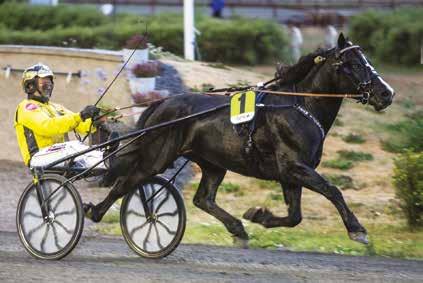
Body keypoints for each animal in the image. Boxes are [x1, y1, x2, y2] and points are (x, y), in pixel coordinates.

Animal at [84, 33, 396, 246]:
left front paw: (258, 216)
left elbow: (295, 216)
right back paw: (94, 211)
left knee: (203, 199)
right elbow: (333, 190)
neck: (299, 106)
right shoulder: (295, 167)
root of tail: (162, 103)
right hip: (157, 156)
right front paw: (357, 230)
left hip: (213, 163)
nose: (386, 93)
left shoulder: (290, 174)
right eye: (354, 63)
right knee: (127, 182)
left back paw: (237, 228)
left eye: (366, 60)